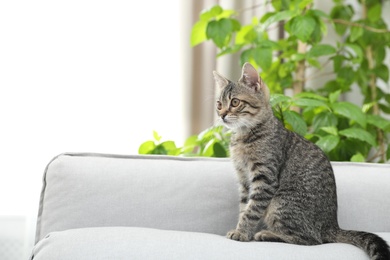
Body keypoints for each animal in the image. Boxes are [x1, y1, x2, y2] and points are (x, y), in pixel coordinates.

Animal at [213, 63, 390, 260]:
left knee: (311, 240)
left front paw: (242, 232)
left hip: (281, 202)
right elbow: (244, 206)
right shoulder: (244, 180)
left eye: (235, 102)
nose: (221, 115)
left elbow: (252, 210)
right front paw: (241, 228)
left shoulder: (265, 178)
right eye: (219, 104)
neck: (244, 136)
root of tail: (331, 225)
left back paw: (268, 234)